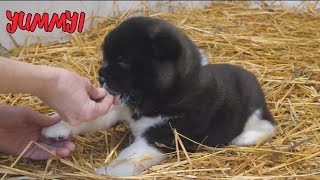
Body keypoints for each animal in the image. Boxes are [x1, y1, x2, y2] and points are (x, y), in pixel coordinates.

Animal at [42, 16, 276, 176]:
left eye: (123, 60)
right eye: (105, 57)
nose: (100, 76)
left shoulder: (162, 137)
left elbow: (130, 157)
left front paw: (105, 172)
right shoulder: (119, 109)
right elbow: (93, 116)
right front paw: (56, 128)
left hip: (254, 110)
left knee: (267, 126)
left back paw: (244, 137)